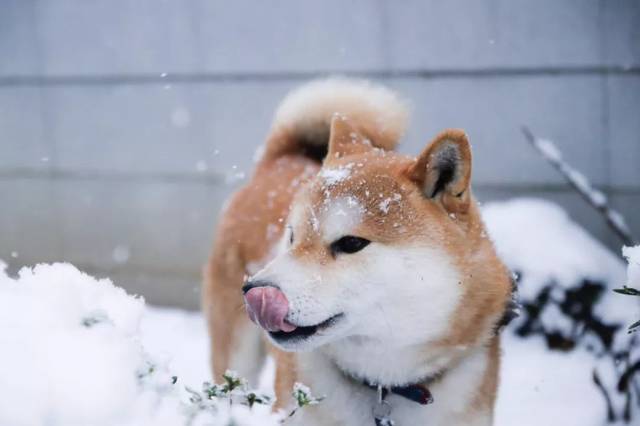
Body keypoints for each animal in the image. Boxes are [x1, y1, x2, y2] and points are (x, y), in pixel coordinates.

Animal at [205, 78, 516, 424]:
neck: (386, 385)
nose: (253, 290)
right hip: (234, 362)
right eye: (292, 238)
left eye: (351, 243)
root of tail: (282, 158)